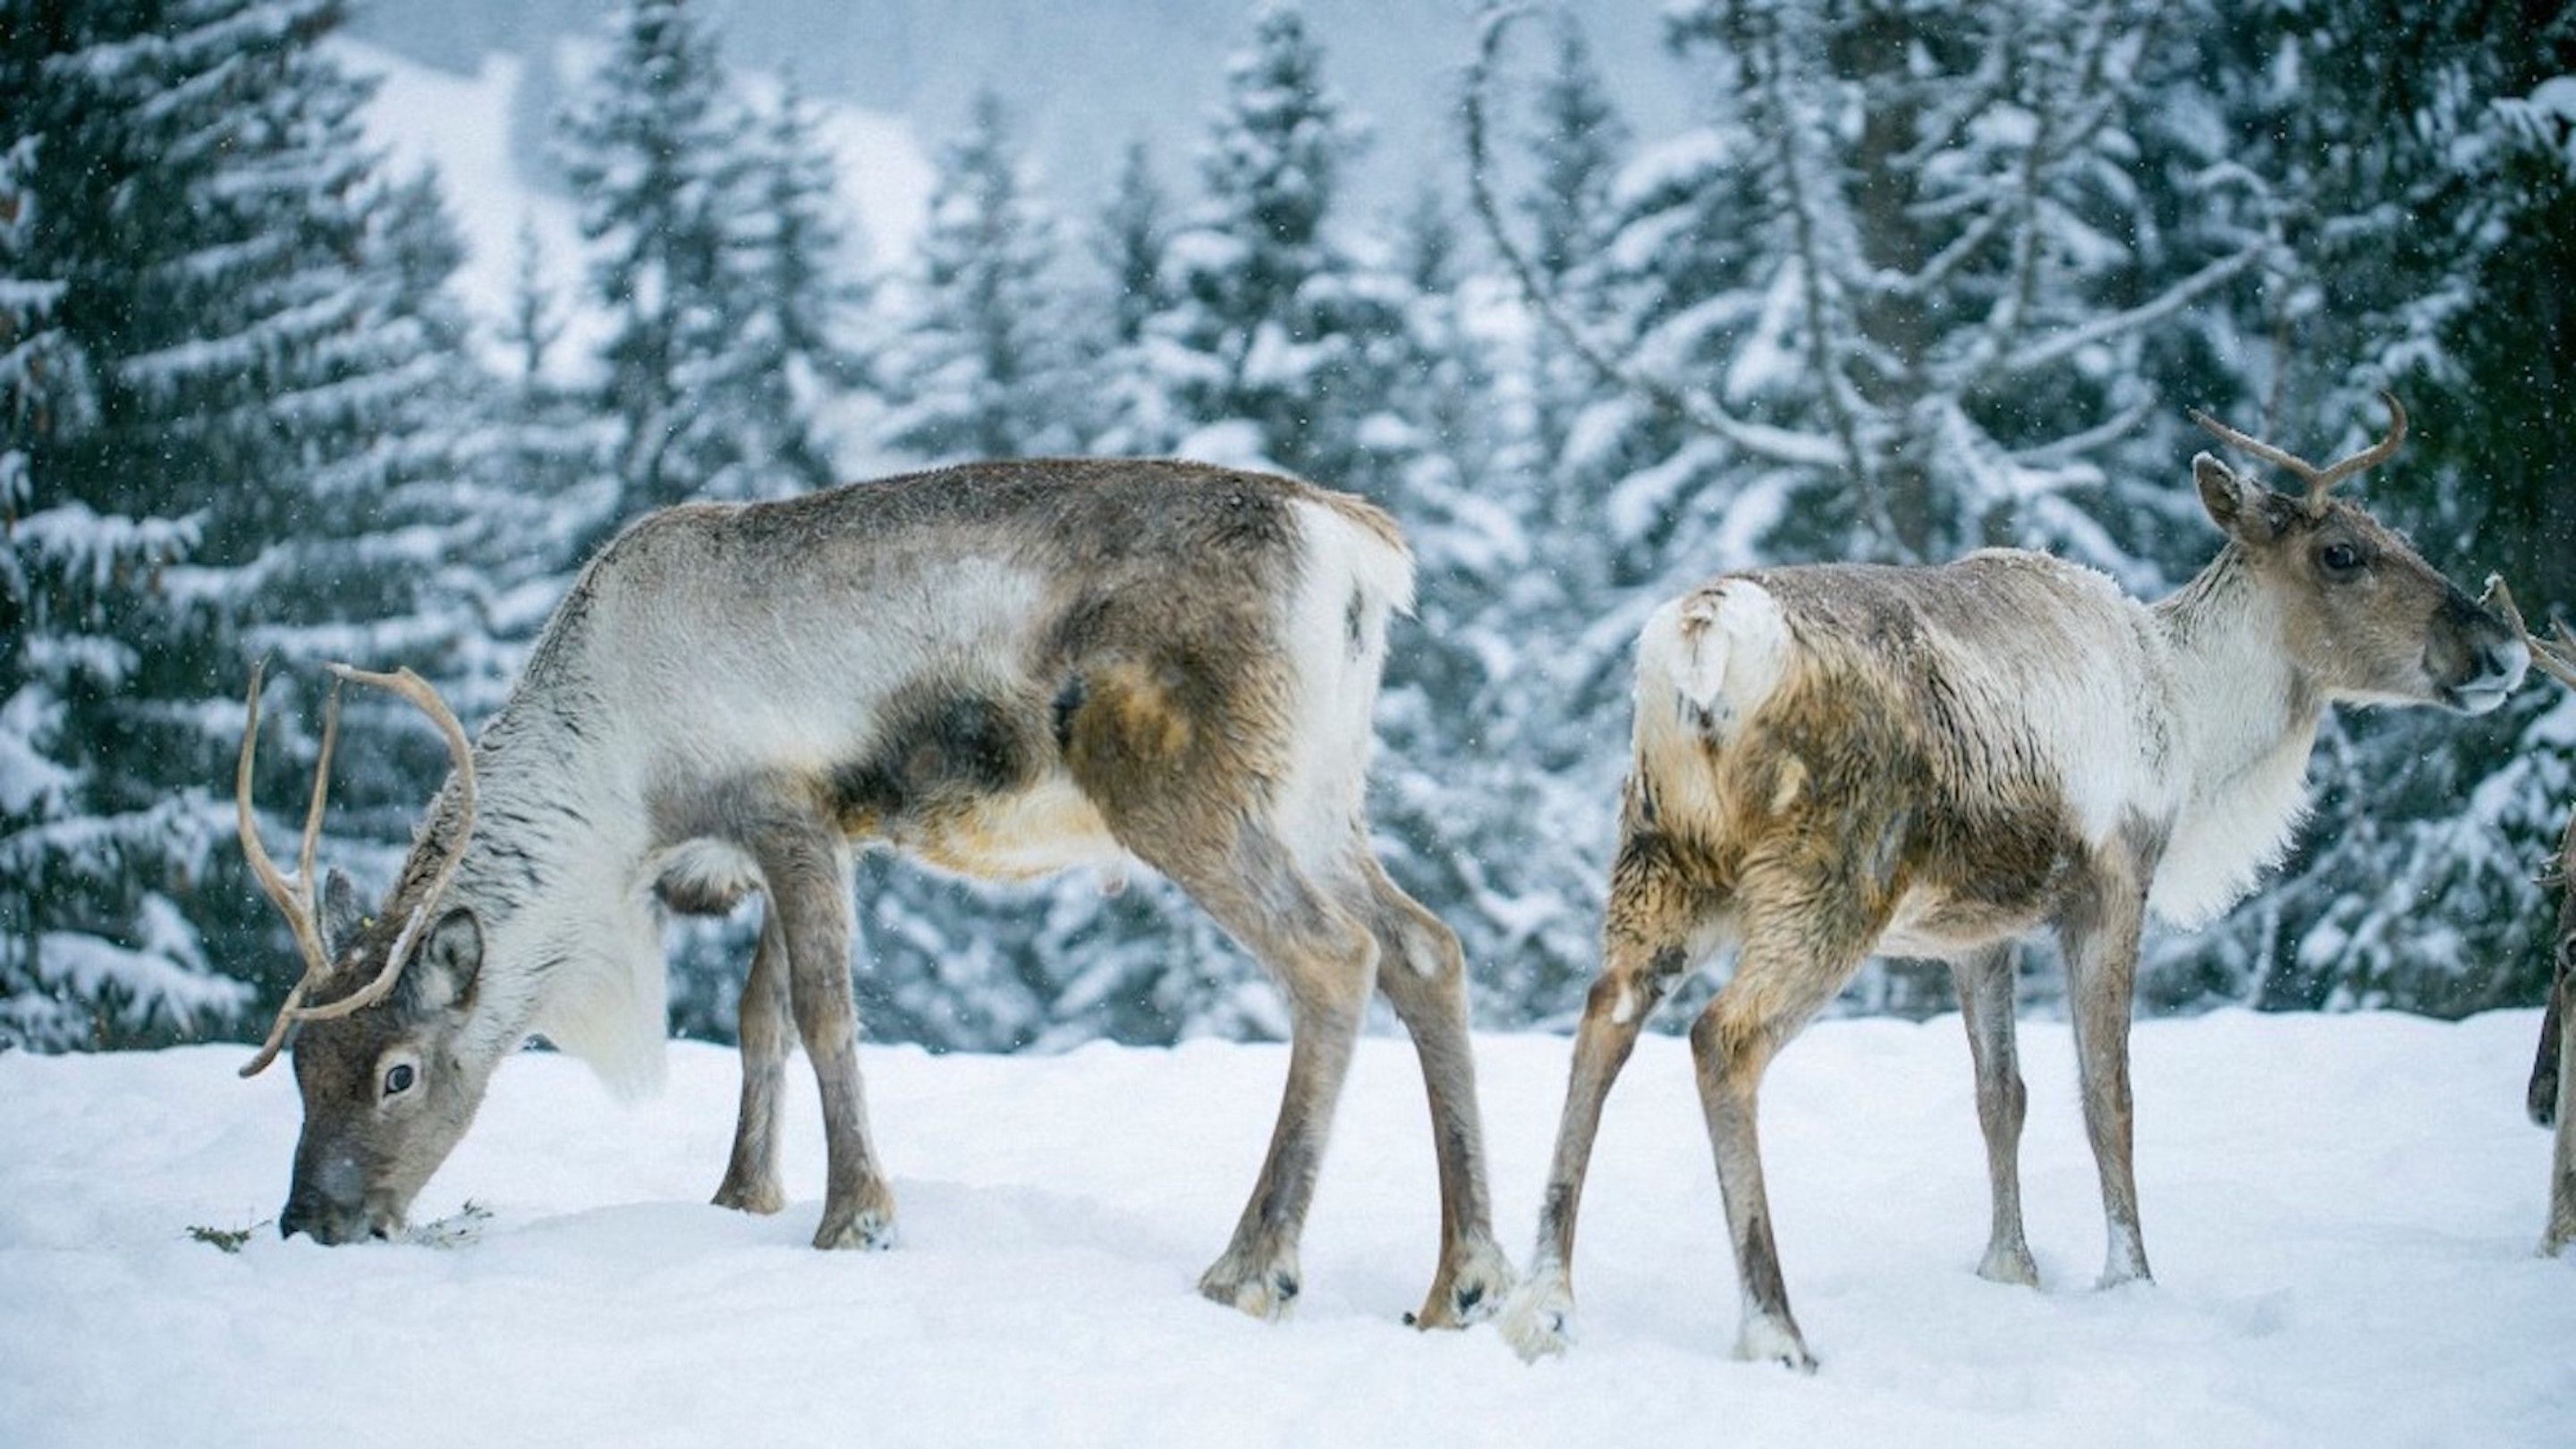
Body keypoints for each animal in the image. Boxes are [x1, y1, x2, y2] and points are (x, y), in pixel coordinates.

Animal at [233, 458, 1516, 1329]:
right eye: (298, 1065)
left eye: (400, 1072)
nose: (311, 1224)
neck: (621, 785)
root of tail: (1359, 552)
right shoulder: (809, 841)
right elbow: (759, 1019)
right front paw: (741, 1194)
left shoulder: (788, 811)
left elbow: (824, 1013)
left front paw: (854, 1219)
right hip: (1320, 795)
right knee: (1428, 946)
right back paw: (1464, 1281)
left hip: (1187, 786)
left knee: (1334, 957)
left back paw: (1255, 1267)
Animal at [1495, 395, 2531, 1370]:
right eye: (2343, 553)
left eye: (2402, 538)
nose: (2504, 649)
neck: (2196, 726)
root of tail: (1702, 642)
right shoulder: (2112, 881)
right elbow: (2107, 1093)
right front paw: (2130, 1279)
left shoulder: (1975, 931)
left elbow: (2003, 1096)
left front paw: (2011, 1268)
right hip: (1830, 875)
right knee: (1723, 1038)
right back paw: (1775, 1329)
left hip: (1660, 865)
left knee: (1605, 1017)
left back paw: (1544, 1304)